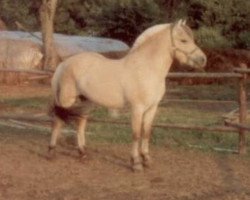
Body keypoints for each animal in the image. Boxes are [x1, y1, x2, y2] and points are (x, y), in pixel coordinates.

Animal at [48, 19, 207, 171]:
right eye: (183, 40)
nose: (203, 60)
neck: (146, 68)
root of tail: (64, 64)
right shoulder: (137, 108)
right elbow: (136, 134)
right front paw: (136, 163)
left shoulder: (152, 108)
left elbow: (146, 132)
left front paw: (147, 160)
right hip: (66, 100)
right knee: (58, 122)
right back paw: (52, 152)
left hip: (85, 101)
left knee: (80, 123)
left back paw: (83, 154)